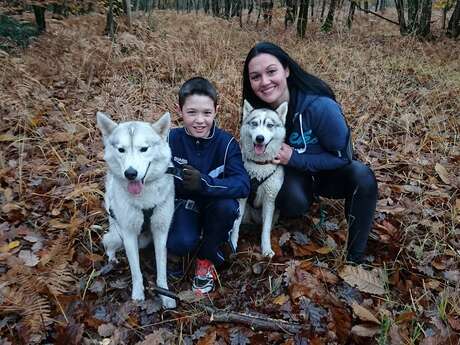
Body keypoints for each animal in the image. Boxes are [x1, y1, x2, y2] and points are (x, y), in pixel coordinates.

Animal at [97, 111, 176, 308]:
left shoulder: (161, 230)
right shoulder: (129, 234)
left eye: (144, 149)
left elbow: (161, 267)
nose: (130, 173)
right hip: (117, 236)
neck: (144, 201)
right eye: (121, 150)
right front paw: (138, 295)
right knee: (109, 246)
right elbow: (135, 270)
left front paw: (165, 294)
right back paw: (113, 260)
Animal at [232, 99, 286, 255]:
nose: (260, 138)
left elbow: (266, 229)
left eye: (270, 125)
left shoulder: (270, 199)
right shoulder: (241, 198)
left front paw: (266, 248)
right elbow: (235, 224)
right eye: (255, 123)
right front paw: (232, 244)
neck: (259, 165)